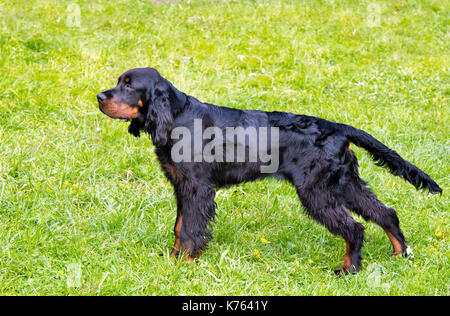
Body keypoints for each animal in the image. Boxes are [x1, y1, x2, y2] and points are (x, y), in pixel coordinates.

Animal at [96, 67, 442, 274]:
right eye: (118, 81)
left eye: (129, 86)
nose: (99, 96)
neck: (178, 117)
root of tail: (339, 128)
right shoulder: (181, 186)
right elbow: (180, 226)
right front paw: (173, 258)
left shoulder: (197, 187)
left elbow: (191, 228)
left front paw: (186, 261)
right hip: (344, 183)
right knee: (386, 213)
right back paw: (399, 255)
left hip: (316, 191)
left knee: (355, 228)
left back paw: (348, 269)